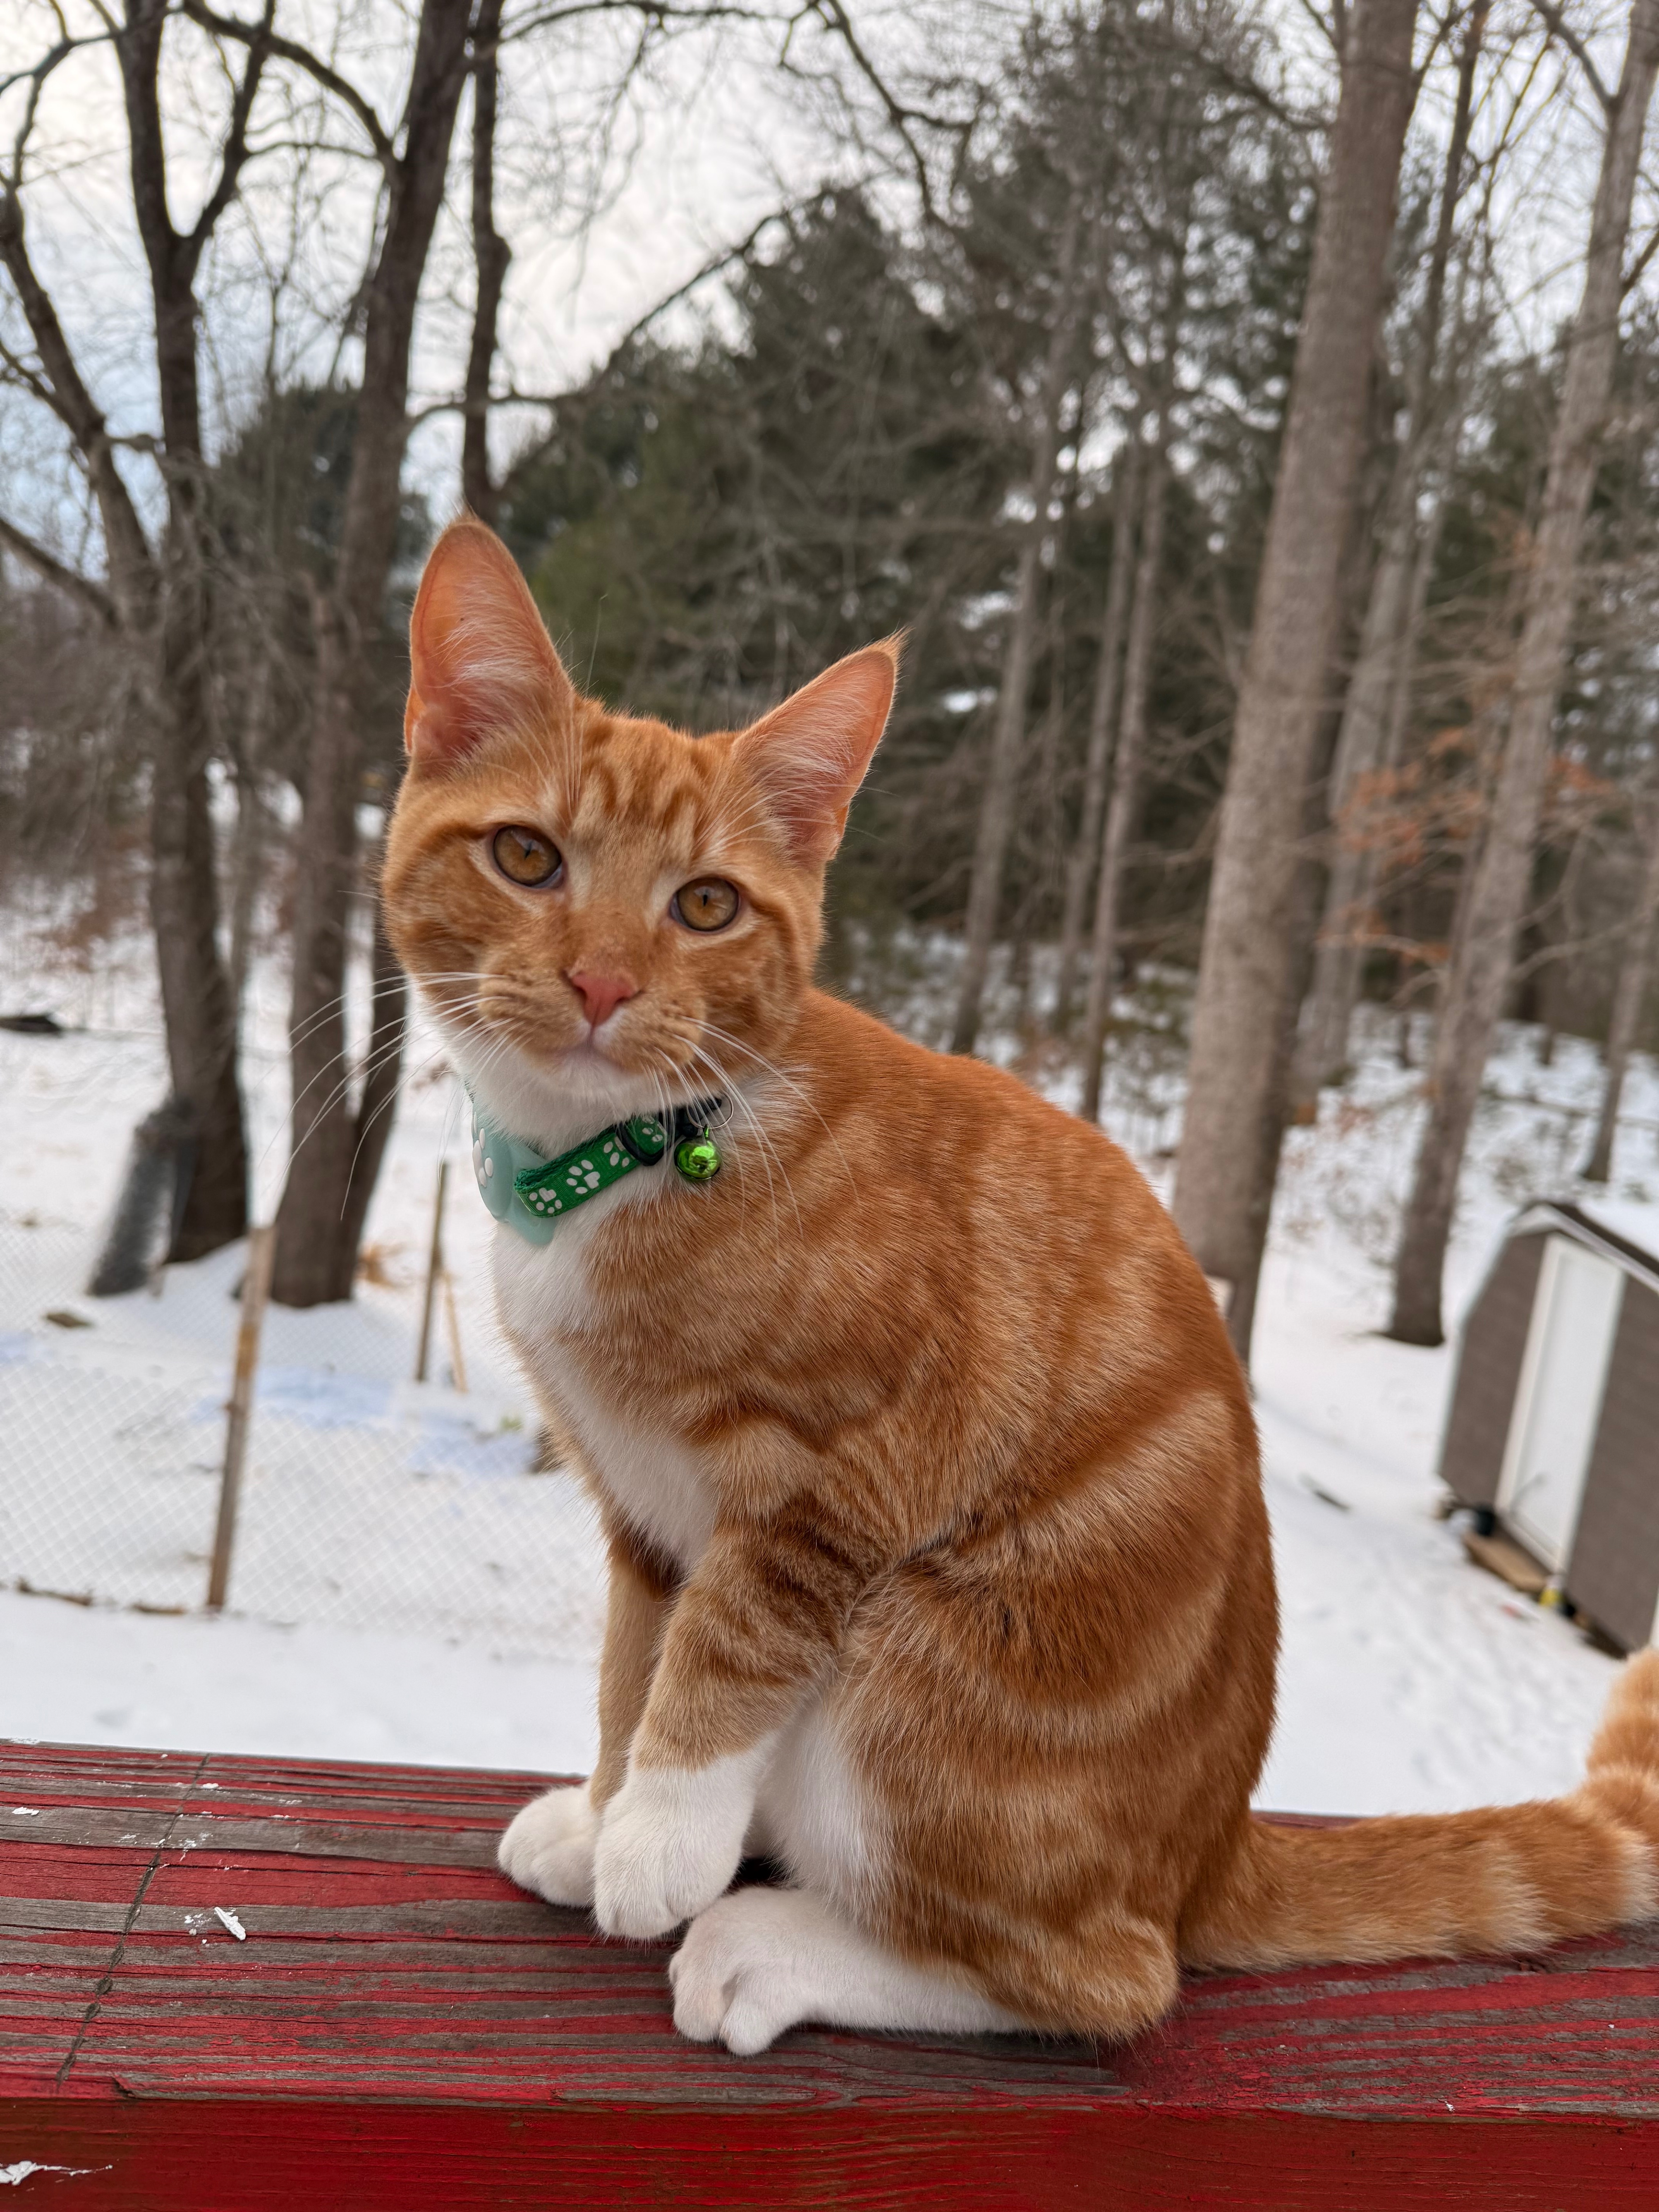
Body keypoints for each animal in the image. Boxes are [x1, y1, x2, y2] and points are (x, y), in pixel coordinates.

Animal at [383, 516, 1659, 2055]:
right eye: (527, 856)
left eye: (705, 905)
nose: (601, 983)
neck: (631, 1160)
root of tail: (1210, 1851)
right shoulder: (642, 1515)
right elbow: (635, 1666)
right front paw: (606, 1808)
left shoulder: (839, 1473)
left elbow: (722, 1654)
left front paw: (660, 1841)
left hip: (920, 1666)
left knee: (1097, 1975)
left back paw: (768, 1946)